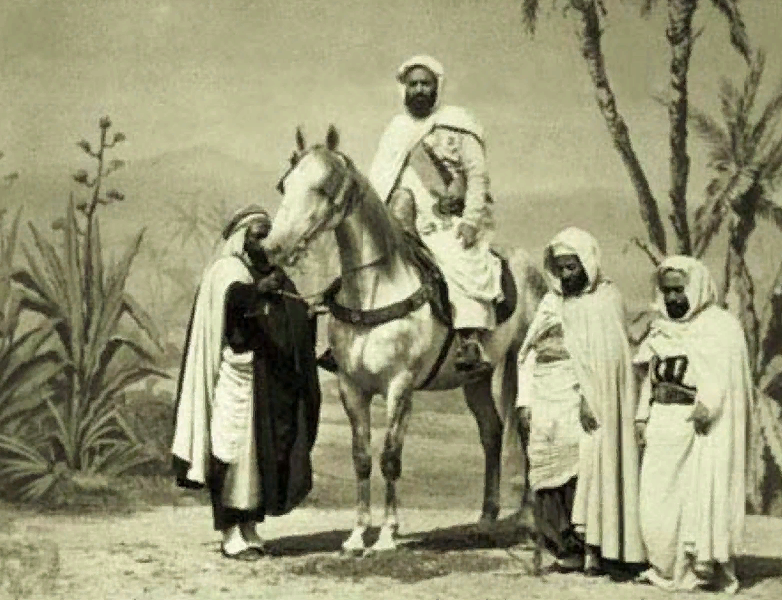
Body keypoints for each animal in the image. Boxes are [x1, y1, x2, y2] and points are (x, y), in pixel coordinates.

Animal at [263, 125, 546, 556]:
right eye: (285, 184)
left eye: (324, 187)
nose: (273, 247)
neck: (374, 289)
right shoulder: (352, 388)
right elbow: (362, 457)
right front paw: (357, 535)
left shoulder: (399, 387)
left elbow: (390, 457)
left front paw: (387, 535)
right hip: (476, 377)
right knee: (492, 432)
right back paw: (485, 519)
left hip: (523, 362)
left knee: (525, 427)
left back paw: (528, 519)